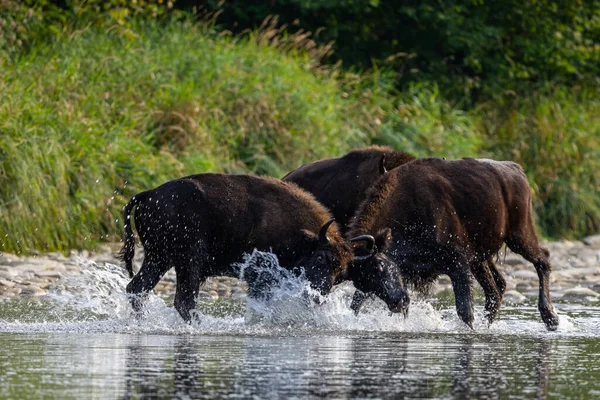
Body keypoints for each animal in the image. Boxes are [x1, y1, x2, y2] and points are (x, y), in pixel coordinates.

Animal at [118, 174, 408, 322]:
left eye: (341, 275)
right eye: (321, 259)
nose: (401, 300)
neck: (304, 238)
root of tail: (147, 194)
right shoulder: (260, 279)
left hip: (160, 259)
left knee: (137, 288)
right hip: (187, 261)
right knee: (183, 301)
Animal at [346, 158, 556, 330]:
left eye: (380, 267)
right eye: (361, 279)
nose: (397, 303)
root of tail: (517, 170)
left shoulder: (457, 264)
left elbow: (464, 310)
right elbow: (356, 303)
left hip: (519, 235)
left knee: (542, 258)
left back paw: (551, 319)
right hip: (481, 259)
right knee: (497, 288)